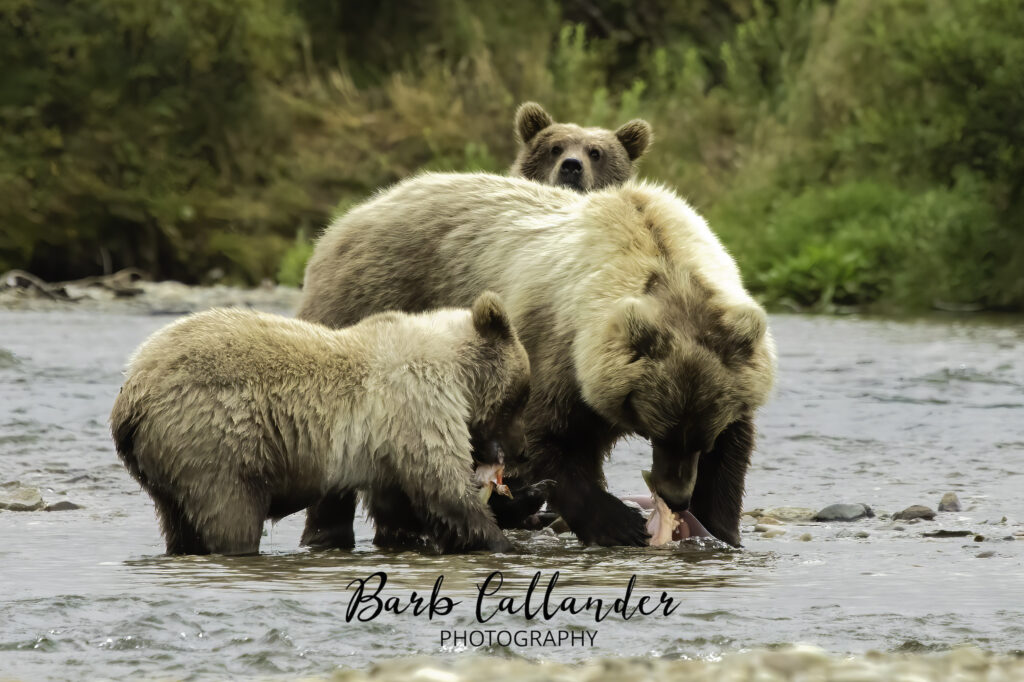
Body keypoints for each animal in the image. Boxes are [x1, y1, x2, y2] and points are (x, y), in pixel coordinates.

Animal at [109, 292, 531, 555]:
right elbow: (442, 485)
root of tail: (132, 392)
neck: (457, 372)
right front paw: (500, 541)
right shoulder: (416, 402)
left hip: (163, 463)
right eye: (521, 397)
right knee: (229, 512)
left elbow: (398, 502)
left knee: (177, 520)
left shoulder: (386, 445)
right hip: (214, 438)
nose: (520, 452)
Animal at [297, 172, 776, 548]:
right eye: (658, 425)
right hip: (367, 308)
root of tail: (344, 220)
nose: (675, 497)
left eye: (700, 437)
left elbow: (733, 450)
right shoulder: (553, 347)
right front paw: (619, 522)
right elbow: (548, 437)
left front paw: (719, 528)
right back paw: (334, 533)